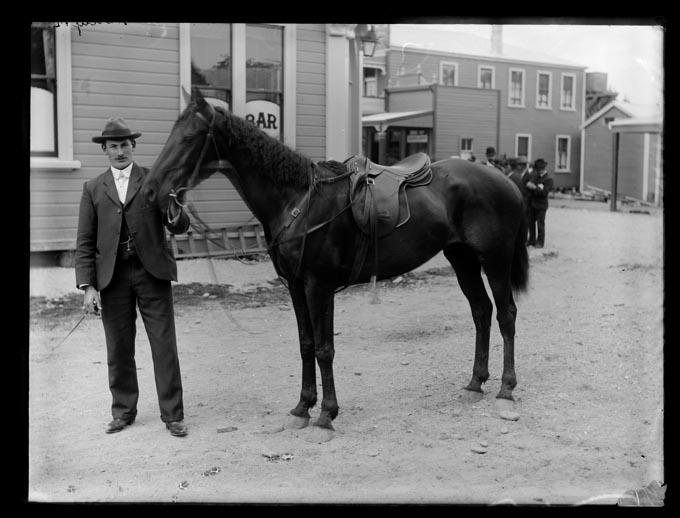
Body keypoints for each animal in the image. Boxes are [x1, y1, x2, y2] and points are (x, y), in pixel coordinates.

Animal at [143, 88, 530, 432]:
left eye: (189, 136)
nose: (149, 191)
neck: (298, 201)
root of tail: (506, 181)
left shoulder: (319, 286)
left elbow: (324, 348)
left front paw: (327, 413)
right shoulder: (296, 286)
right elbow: (306, 344)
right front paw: (303, 406)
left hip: (495, 259)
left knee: (506, 314)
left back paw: (506, 386)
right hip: (462, 258)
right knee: (481, 311)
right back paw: (476, 382)